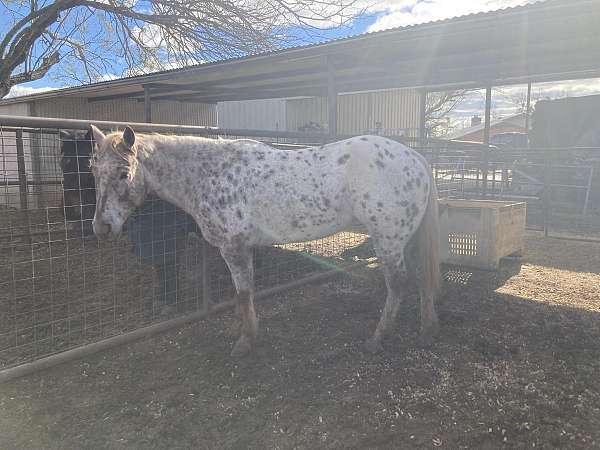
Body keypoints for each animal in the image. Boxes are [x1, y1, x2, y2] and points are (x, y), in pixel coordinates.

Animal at [88, 125, 440, 356]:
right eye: (94, 172)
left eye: (123, 173)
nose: (101, 228)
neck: (211, 173)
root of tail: (416, 157)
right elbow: (240, 295)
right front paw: (241, 329)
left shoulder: (234, 249)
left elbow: (244, 293)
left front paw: (245, 341)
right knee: (422, 278)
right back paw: (426, 330)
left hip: (388, 240)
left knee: (398, 284)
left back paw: (378, 339)